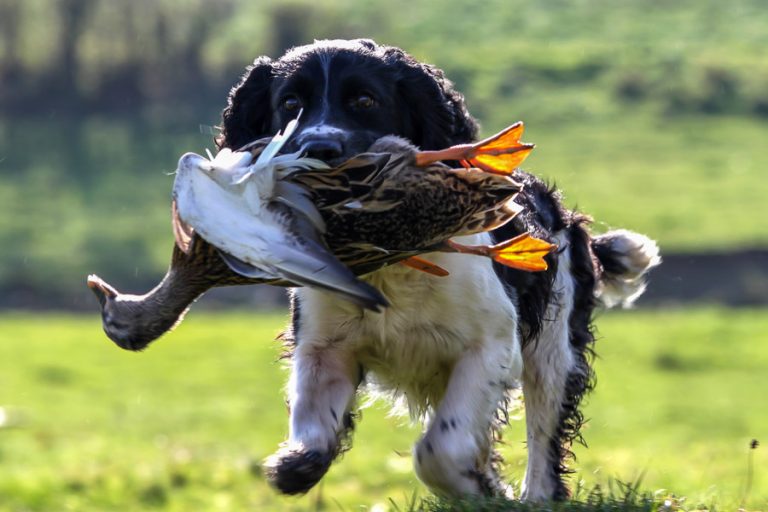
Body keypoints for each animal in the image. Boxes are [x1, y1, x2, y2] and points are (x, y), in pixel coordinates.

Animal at [216, 39, 660, 500]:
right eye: (289, 103)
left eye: (364, 100)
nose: (318, 149)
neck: (391, 263)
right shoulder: (325, 345)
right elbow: (313, 421)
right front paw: (297, 463)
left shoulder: (489, 347)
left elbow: (441, 448)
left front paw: (479, 487)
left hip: (554, 350)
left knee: (544, 432)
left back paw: (534, 496)